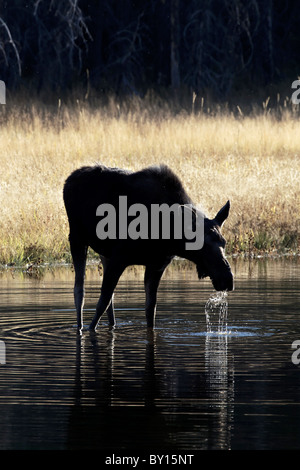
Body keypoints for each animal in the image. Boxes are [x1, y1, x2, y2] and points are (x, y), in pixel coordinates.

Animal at [63, 164, 233, 330]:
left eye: (224, 242)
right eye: (202, 245)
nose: (227, 279)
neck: (170, 235)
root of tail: (69, 180)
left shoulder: (156, 265)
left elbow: (150, 309)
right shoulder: (119, 258)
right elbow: (102, 302)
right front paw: (90, 329)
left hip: (104, 252)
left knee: (109, 296)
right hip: (77, 238)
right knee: (79, 290)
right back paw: (79, 326)